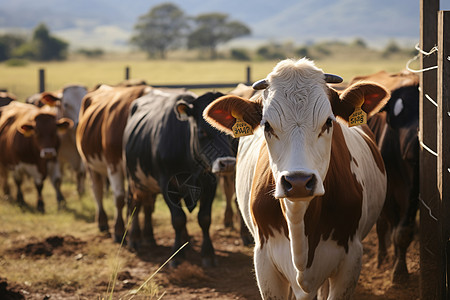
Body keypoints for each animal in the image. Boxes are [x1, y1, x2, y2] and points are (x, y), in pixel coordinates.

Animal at [76, 83, 152, 243]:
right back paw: (103, 222)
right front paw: (119, 231)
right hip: (90, 164)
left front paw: (144, 234)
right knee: (97, 190)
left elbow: (145, 201)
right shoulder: (114, 165)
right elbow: (119, 198)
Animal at [123, 89, 236, 268]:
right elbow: (178, 218)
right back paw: (134, 239)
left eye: (230, 131)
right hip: (133, 177)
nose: (228, 164)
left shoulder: (210, 185)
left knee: (147, 206)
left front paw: (208, 254)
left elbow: (204, 218)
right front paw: (177, 255)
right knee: (135, 203)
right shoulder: (167, 185)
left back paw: (153, 237)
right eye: (202, 131)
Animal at [352, 69, 422, 282]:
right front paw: (396, 268)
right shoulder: (388, 193)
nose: (415, 142)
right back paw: (381, 258)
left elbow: (404, 231)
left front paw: (400, 268)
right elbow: (391, 228)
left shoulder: (414, 191)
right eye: (395, 117)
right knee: (382, 225)